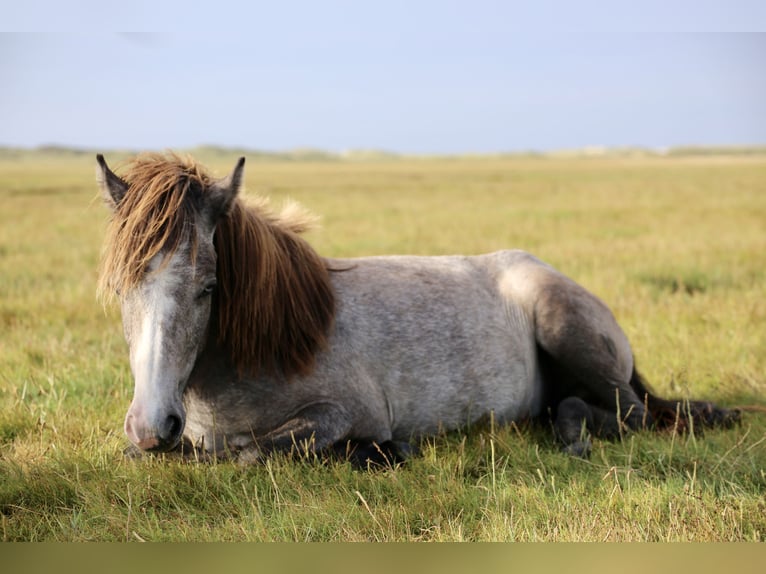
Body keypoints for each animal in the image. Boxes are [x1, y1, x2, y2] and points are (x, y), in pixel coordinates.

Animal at [96, 152, 739, 466]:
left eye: (209, 287)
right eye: (122, 291)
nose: (152, 425)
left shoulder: (343, 411)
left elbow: (249, 453)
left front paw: (382, 451)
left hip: (567, 329)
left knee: (629, 413)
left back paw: (572, 433)